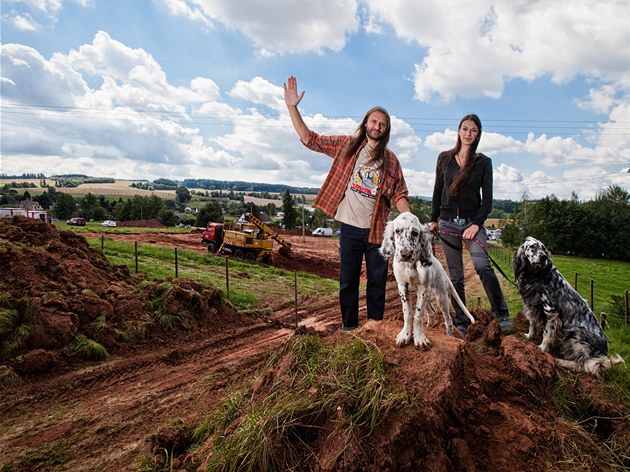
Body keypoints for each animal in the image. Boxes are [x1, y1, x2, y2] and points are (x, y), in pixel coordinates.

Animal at [380, 212, 474, 348]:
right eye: (397, 231)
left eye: (415, 233)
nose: (405, 254)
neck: (410, 265)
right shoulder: (402, 286)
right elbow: (408, 314)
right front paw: (406, 335)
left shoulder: (423, 288)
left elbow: (418, 315)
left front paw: (419, 338)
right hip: (428, 295)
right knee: (432, 312)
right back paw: (430, 327)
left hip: (441, 297)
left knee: (448, 319)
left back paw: (450, 335)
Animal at [516, 238, 624, 374]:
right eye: (532, 247)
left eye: (543, 248)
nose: (544, 256)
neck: (536, 275)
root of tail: (603, 353)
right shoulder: (532, 305)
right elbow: (532, 323)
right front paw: (529, 336)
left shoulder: (551, 310)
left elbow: (547, 334)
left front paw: (541, 349)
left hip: (576, 332)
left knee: (583, 364)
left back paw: (559, 361)